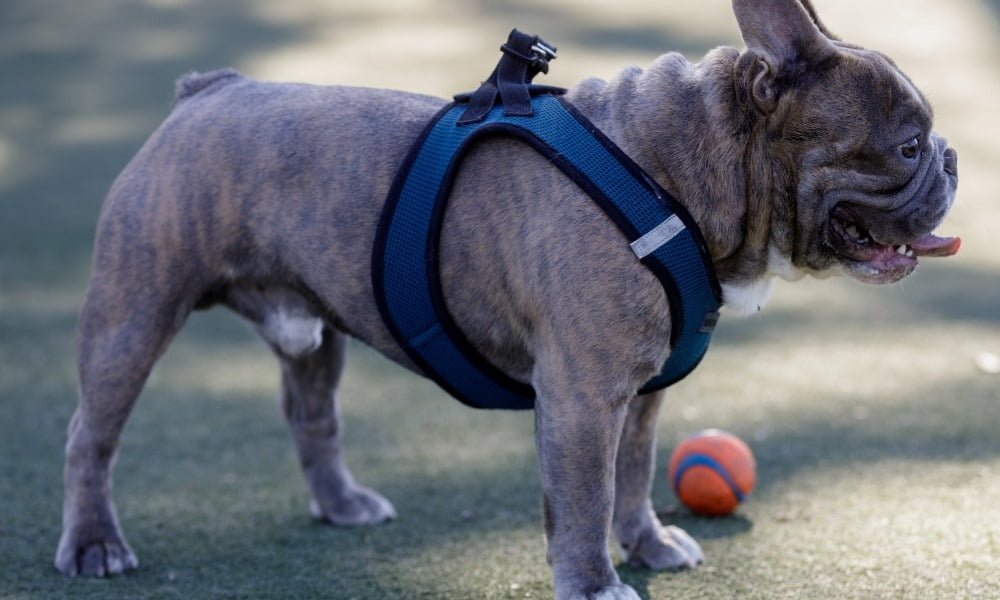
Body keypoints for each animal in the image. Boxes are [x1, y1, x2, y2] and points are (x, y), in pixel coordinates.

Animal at [56, 1, 960, 596]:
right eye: (908, 147)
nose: (952, 157)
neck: (675, 169)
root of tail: (208, 90)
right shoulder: (584, 397)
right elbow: (586, 497)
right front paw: (594, 583)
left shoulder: (640, 396)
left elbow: (631, 478)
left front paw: (648, 545)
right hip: (133, 314)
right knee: (90, 437)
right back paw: (95, 544)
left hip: (314, 334)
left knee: (312, 416)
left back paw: (342, 504)